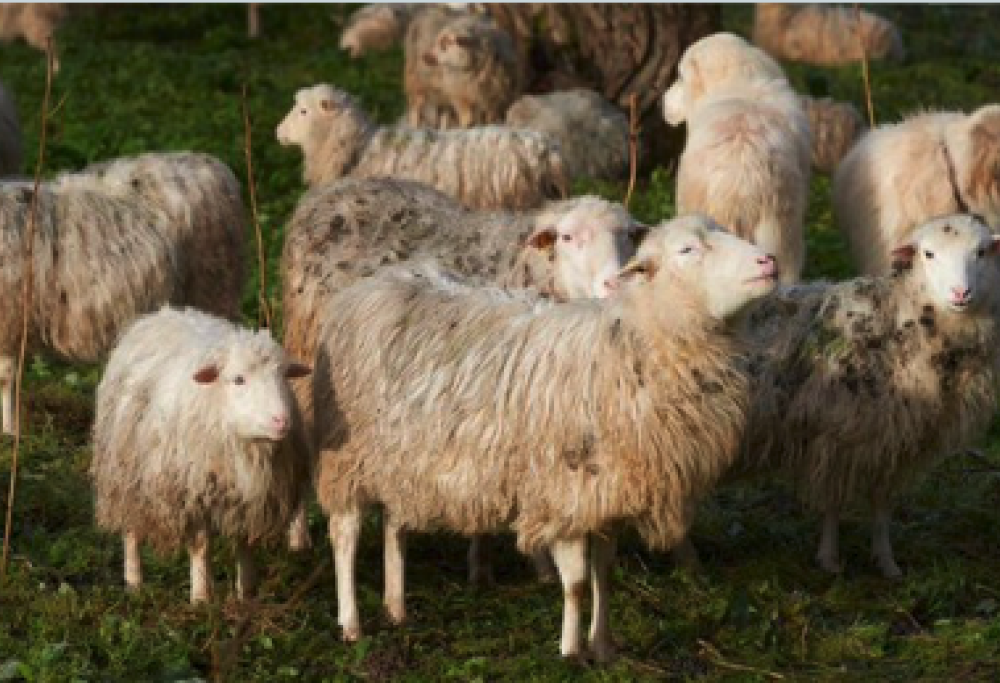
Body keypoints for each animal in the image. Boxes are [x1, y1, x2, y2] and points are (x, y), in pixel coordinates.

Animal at [91, 306, 311, 603]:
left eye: (285, 377)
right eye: (238, 379)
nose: (281, 420)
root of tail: (164, 313)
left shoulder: (249, 500)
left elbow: (244, 544)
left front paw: (247, 594)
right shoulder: (191, 494)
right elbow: (200, 547)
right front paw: (201, 598)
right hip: (125, 469)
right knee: (130, 527)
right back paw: (134, 580)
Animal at [310, 215, 779, 659]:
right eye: (687, 249)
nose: (769, 262)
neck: (640, 341)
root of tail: (372, 284)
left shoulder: (605, 494)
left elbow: (603, 575)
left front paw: (603, 648)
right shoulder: (564, 491)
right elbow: (576, 582)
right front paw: (570, 651)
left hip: (400, 456)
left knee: (395, 526)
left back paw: (396, 608)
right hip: (346, 455)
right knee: (345, 534)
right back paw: (351, 623)